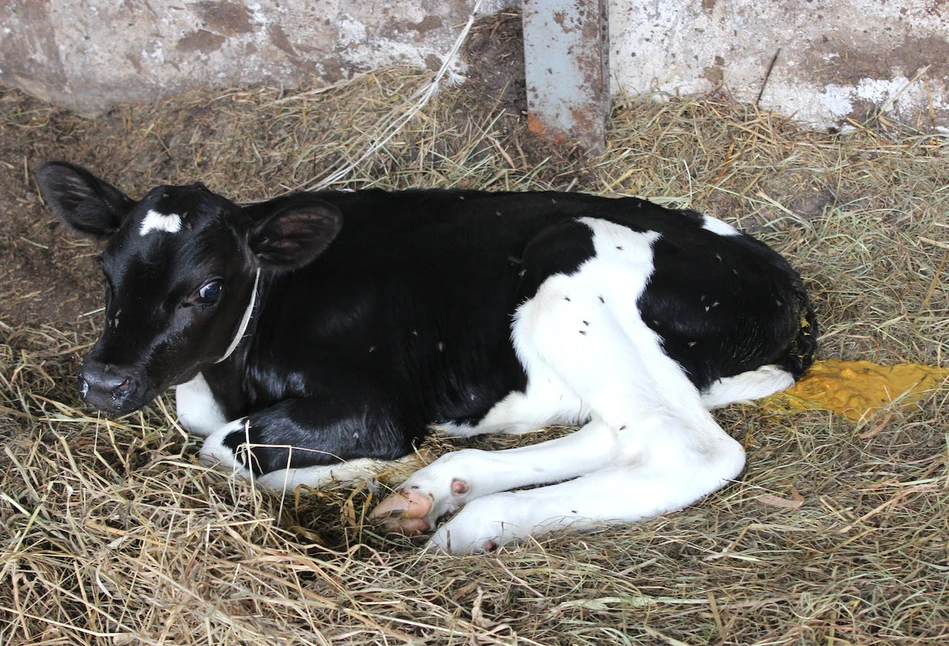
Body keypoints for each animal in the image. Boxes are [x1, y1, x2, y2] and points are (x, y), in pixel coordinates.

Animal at [37, 162, 816, 556]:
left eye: (207, 288)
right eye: (106, 271)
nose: (103, 382)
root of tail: (779, 278)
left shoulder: (372, 404)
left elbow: (227, 447)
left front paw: (356, 470)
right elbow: (216, 435)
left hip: (568, 266)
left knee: (688, 449)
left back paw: (468, 523)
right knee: (619, 434)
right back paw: (439, 487)